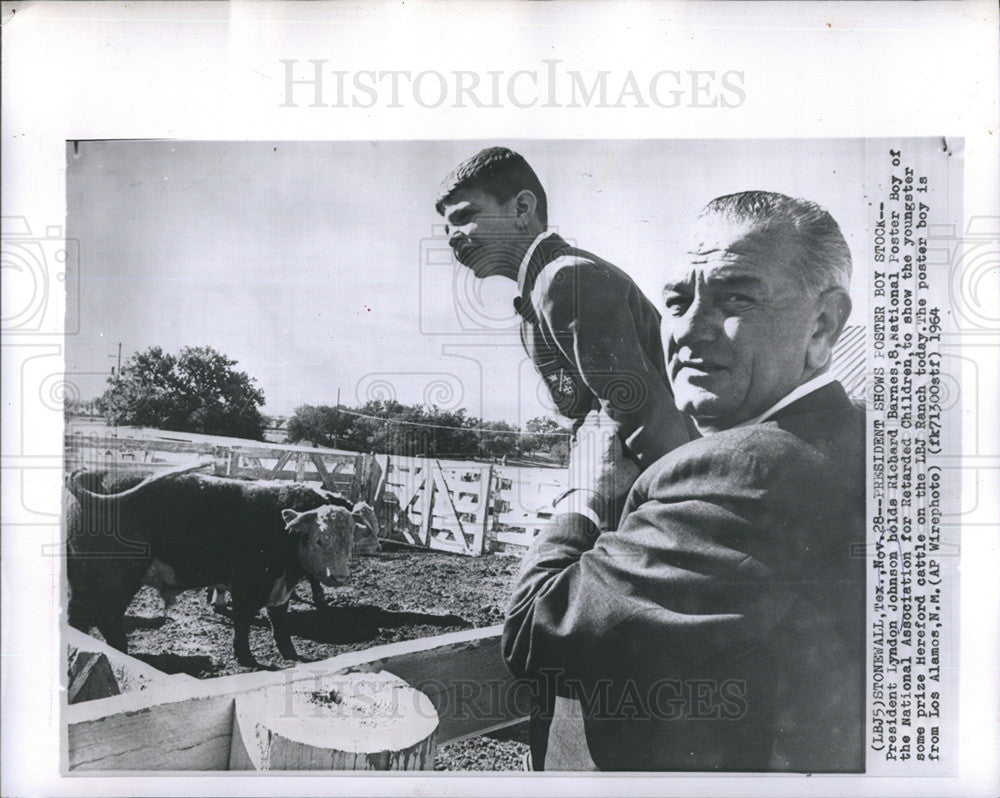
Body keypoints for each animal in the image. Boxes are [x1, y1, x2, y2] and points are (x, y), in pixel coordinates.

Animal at [64, 466, 380, 672]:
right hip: (118, 578)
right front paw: (246, 657)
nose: (339, 576)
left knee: (80, 616)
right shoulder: (247, 585)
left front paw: (290, 653)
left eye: (350, 539)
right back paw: (121, 651)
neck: (278, 528)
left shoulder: (279, 587)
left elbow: (280, 621)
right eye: (319, 538)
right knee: (108, 616)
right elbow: (243, 621)